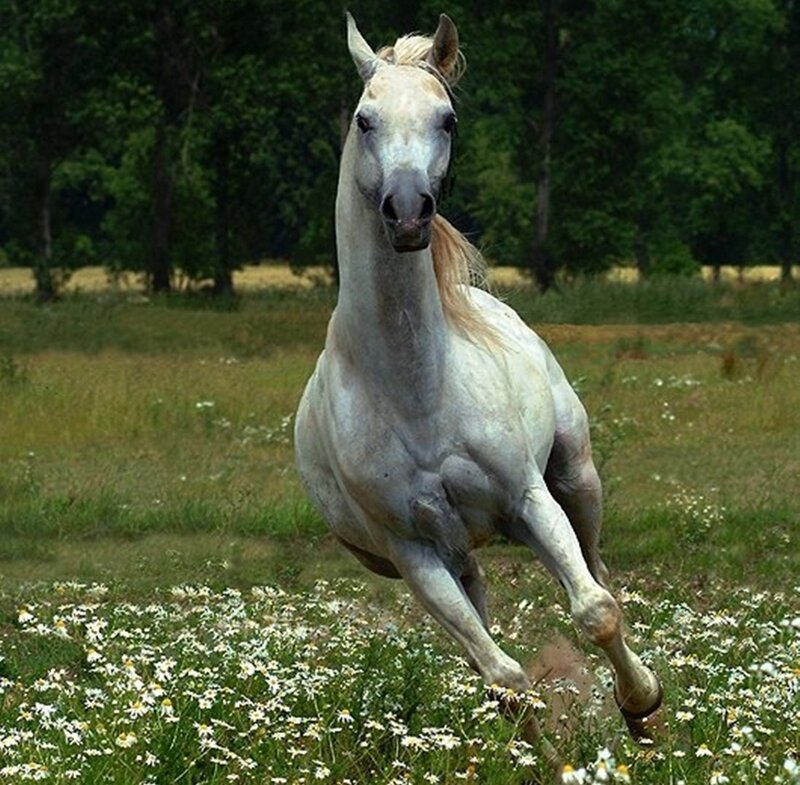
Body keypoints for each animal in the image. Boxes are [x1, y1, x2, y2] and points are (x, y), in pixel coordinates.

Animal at [294, 12, 663, 759]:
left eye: (447, 118)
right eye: (364, 118)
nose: (408, 211)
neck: (415, 388)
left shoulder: (527, 499)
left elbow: (595, 610)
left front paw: (642, 706)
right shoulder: (414, 554)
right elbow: (503, 676)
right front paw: (547, 763)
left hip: (574, 477)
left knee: (599, 574)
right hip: (458, 557)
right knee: (487, 641)